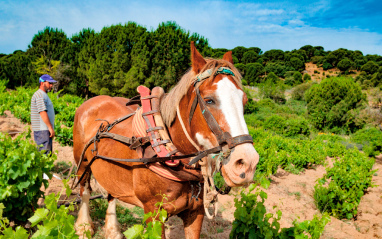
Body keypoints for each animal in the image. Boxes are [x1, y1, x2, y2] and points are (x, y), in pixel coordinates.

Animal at [72, 42, 260, 238]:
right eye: (209, 100)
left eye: (244, 101)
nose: (247, 163)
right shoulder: (154, 214)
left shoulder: (196, 212)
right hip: (82, 162)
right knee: (84, 191)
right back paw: (84, 227)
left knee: (111, 193)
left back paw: (113, 231)